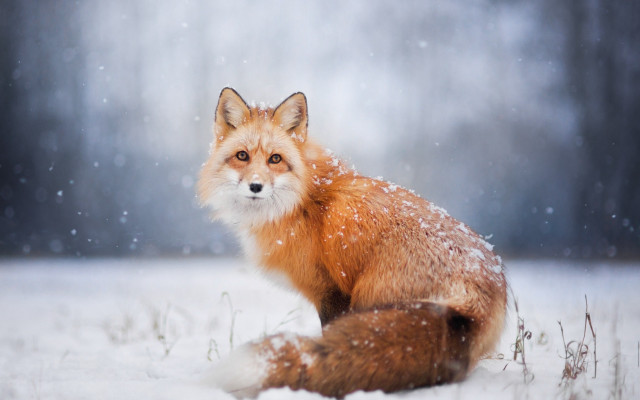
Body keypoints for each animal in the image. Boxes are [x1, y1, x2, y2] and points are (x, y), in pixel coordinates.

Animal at [197, 87, 507, 398]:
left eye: (275, 159)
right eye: (242, 155)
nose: (256, 186)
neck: (304, 201)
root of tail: (476, 299)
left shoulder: (331, 291)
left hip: (368, 298)